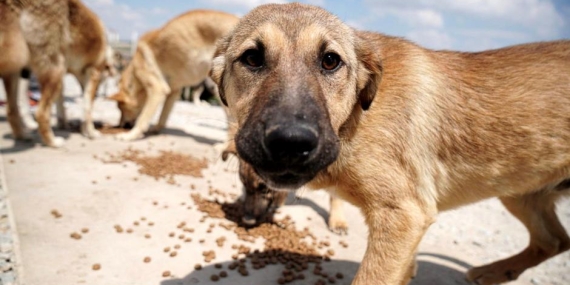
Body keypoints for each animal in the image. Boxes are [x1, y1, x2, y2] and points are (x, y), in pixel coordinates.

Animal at [0, 0, 113, 146]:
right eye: (101, 81)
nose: (98, 94)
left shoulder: (65, 77)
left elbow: (62, 104)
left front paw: (65, 124)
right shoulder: (93, 72)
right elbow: (87, 107)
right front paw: (91, 132)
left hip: (17, 71)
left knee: (11, 110)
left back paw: (22, 136)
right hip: (55, 69)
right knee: (41, 113)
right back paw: (52, 142)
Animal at [108, 10, 237, 141]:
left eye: (121, 108)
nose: (121, 125)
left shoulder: (157, 90)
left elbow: (143, 119)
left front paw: (131, 135)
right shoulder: (173, 91)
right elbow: (163, 116)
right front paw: (156, 129)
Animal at [211, 2, 568, 284]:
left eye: (330, 61)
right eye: (252, 58)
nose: (290, 142)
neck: (355, 118)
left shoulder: (403, 215)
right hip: (520, 192)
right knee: (554, 241)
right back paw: (493, 272)